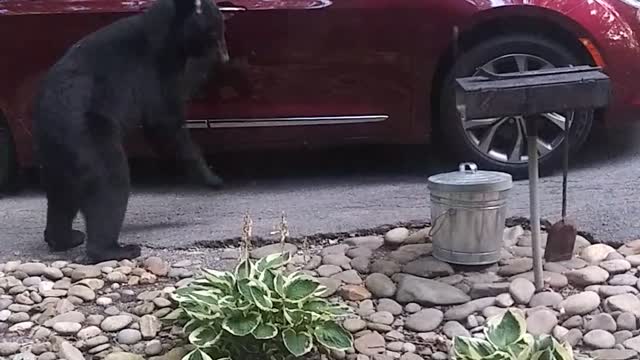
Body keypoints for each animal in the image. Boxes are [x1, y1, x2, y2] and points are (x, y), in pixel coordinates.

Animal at [31, 0, 230, 264]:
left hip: (54, 155)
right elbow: (164, 122)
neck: (164, 33)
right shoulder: (156, 72)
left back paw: (64, 237)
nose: (225, 56)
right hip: (89, 134)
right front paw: (212, 177)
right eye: (216, 32)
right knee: (110, 185)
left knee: (60, 197)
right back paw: (116, 248)